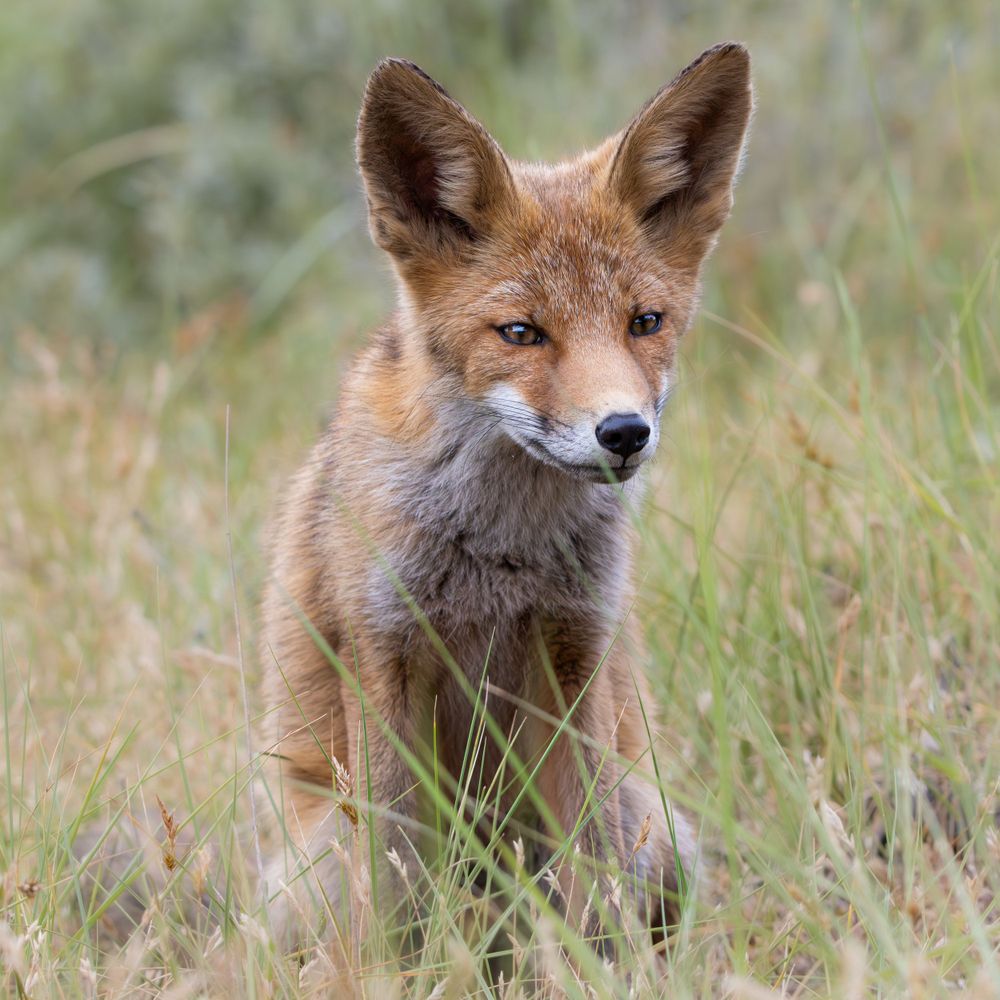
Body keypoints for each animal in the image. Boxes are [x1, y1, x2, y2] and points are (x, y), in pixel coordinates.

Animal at [260, 43, 752, 950]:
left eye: (644, 322)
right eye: (521, 333)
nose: (623, 431)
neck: (501, 553)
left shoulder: (574, 660)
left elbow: (592, 884)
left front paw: (606, 971)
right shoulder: (384, 660)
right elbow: (396, 896)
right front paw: (399, 974)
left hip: (658, 828)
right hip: (318, 863)